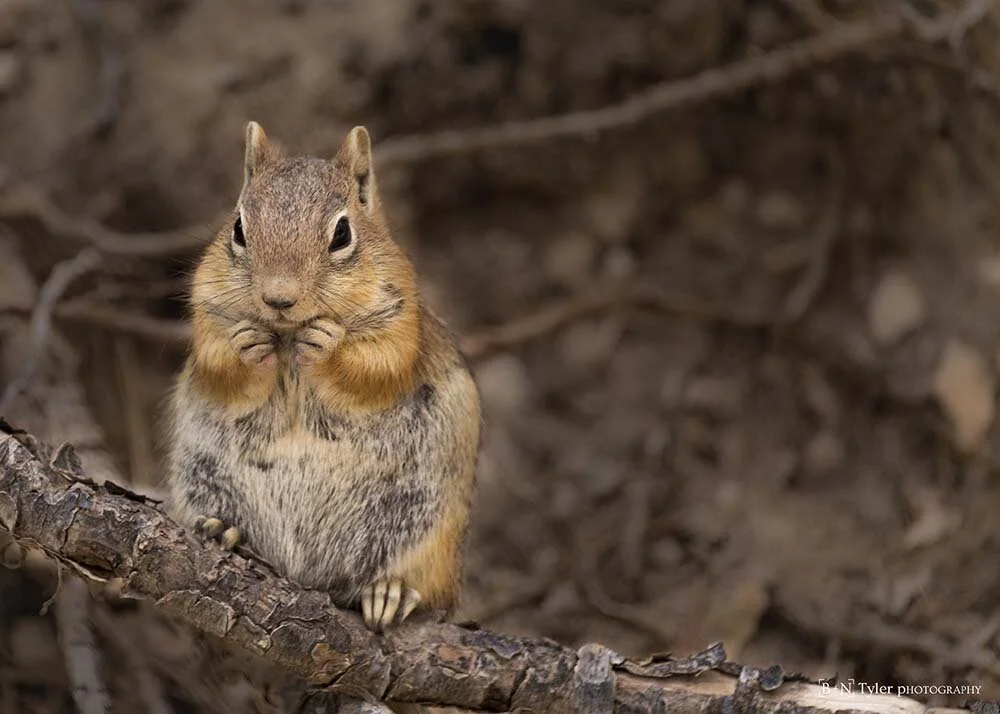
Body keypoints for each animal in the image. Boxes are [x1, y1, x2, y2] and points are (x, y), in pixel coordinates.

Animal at [165, 121, 482, 641]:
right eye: (238, 228)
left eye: (342, 233)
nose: (278, 298)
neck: (290, 336)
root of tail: (306, 575)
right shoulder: (207, 307)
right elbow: (217, 361)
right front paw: (246, 344)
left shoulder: (401, 319)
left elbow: (377, 366)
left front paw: (329, 346)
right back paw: (224, 530)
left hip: (430, 534)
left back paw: (390, 593)